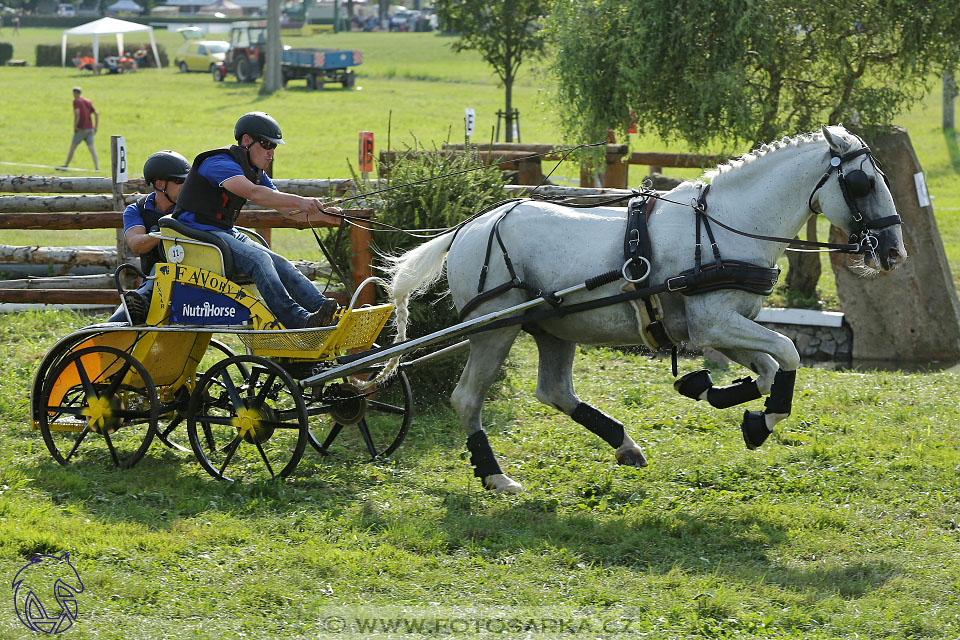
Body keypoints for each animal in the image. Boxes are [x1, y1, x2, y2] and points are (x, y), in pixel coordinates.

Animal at [384, 126, 908, 496]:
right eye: (862, 183)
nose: (894, 251)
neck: (726, 227)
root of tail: (469, 228)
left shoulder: (722, 327)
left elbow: (765, 369)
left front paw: (713, 392)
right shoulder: (715, 323)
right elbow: (788, 353)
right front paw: (761, 420)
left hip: (555, 328)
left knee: (554, 391)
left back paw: (625, 445)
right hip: (495, 328)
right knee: (467, 398)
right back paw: (496, 477)